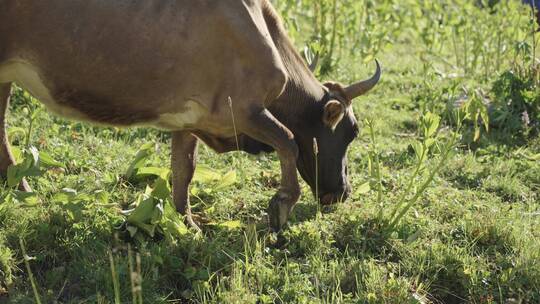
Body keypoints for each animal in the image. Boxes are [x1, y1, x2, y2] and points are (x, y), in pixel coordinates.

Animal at [0, 0, 380, 232]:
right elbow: (289, 141)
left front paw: (186, 223)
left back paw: (17, 185)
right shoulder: (244, 109)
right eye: (351, 131)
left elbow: (184, 168)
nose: (342, 192)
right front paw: (281, 205)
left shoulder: (192, 118)